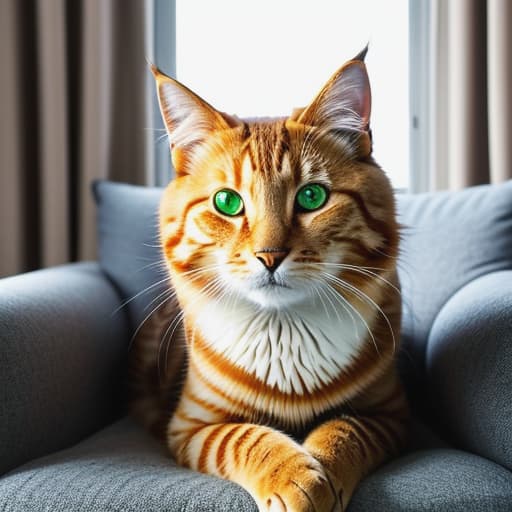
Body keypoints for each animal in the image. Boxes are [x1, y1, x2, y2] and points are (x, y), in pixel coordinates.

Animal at [130, 49, 410, 512]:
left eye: (312, 196)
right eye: (227, 202)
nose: (270, 256)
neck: (284, 332)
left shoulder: (391, 415)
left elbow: (346, 431)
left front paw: (323, 472)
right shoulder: (190, 427)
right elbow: (244, 437)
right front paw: (295, 478)